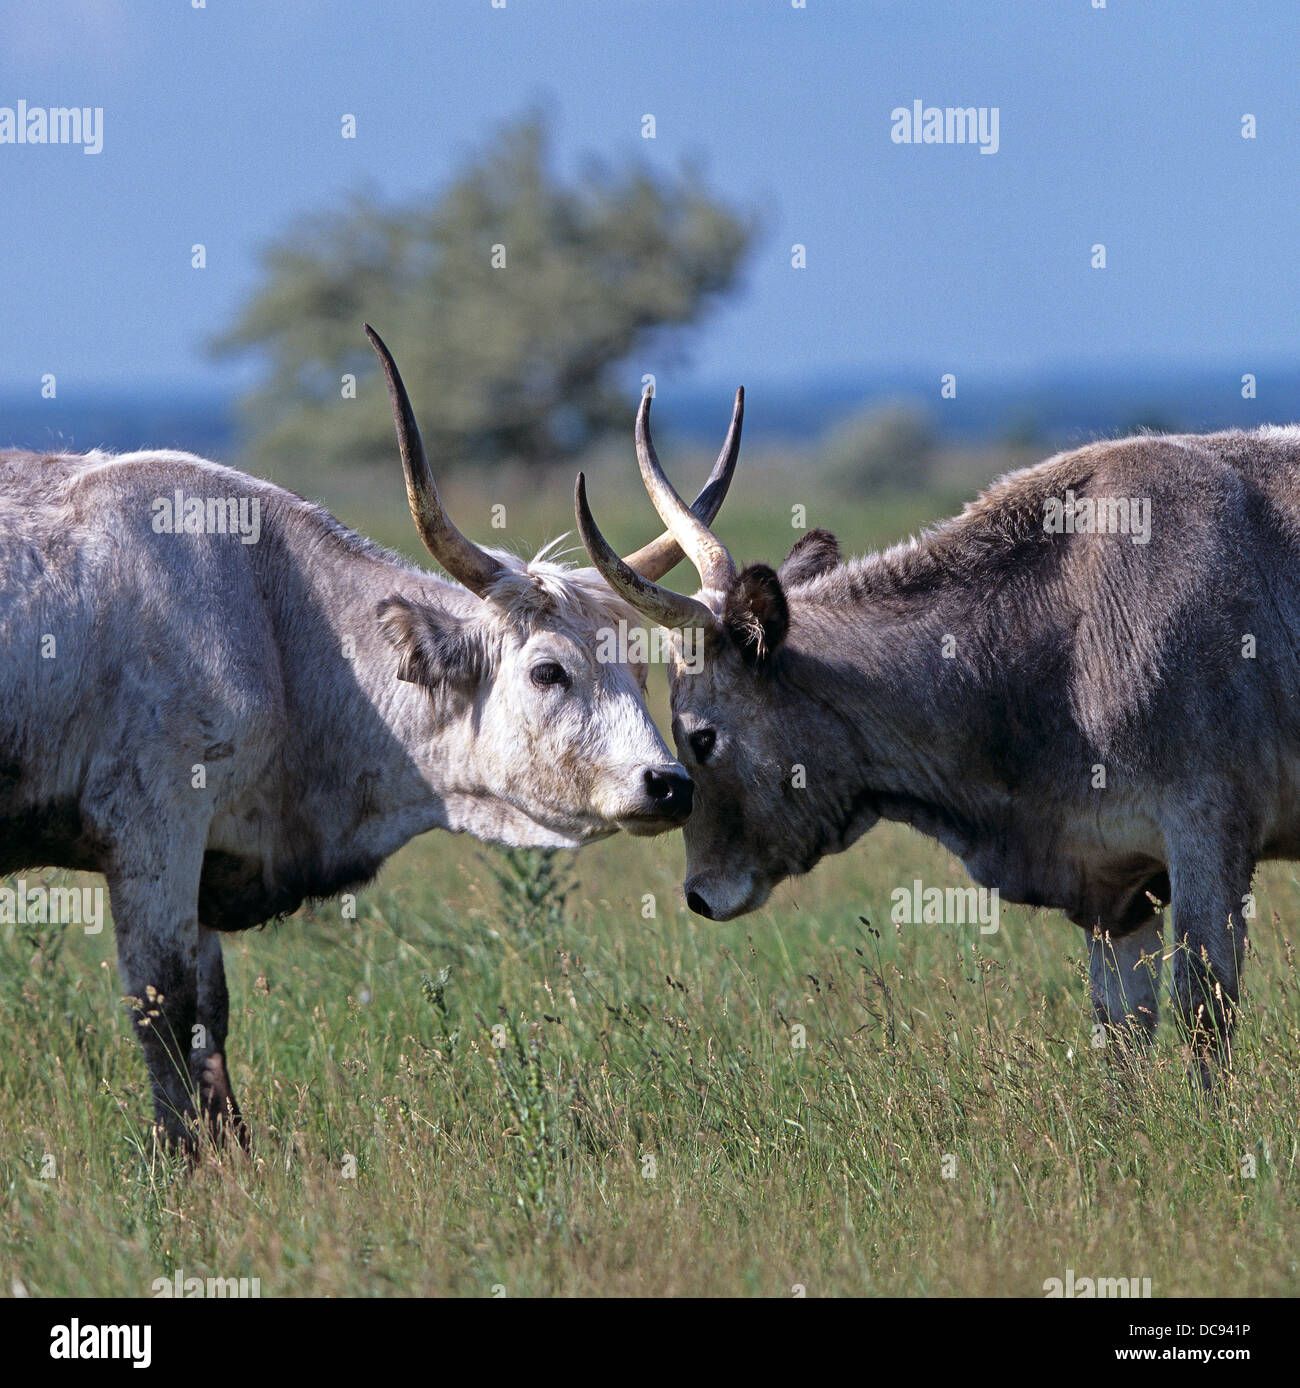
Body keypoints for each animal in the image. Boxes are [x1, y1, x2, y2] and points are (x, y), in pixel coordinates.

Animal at [0, 326, 742, 1149]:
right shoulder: (153, 829)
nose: (669, 784)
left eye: (641, 670)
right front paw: (180, 1161)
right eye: (549, 671)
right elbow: (165, 1008)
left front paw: (233, 1159)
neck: (269, 607)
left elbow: (210, 1018)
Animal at [577, 395, 1300, 1085]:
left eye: (701, 738)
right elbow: (1123, 1030)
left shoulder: (1208, 834)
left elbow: (1204, 1006)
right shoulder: (1115, 883)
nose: (699, 895)